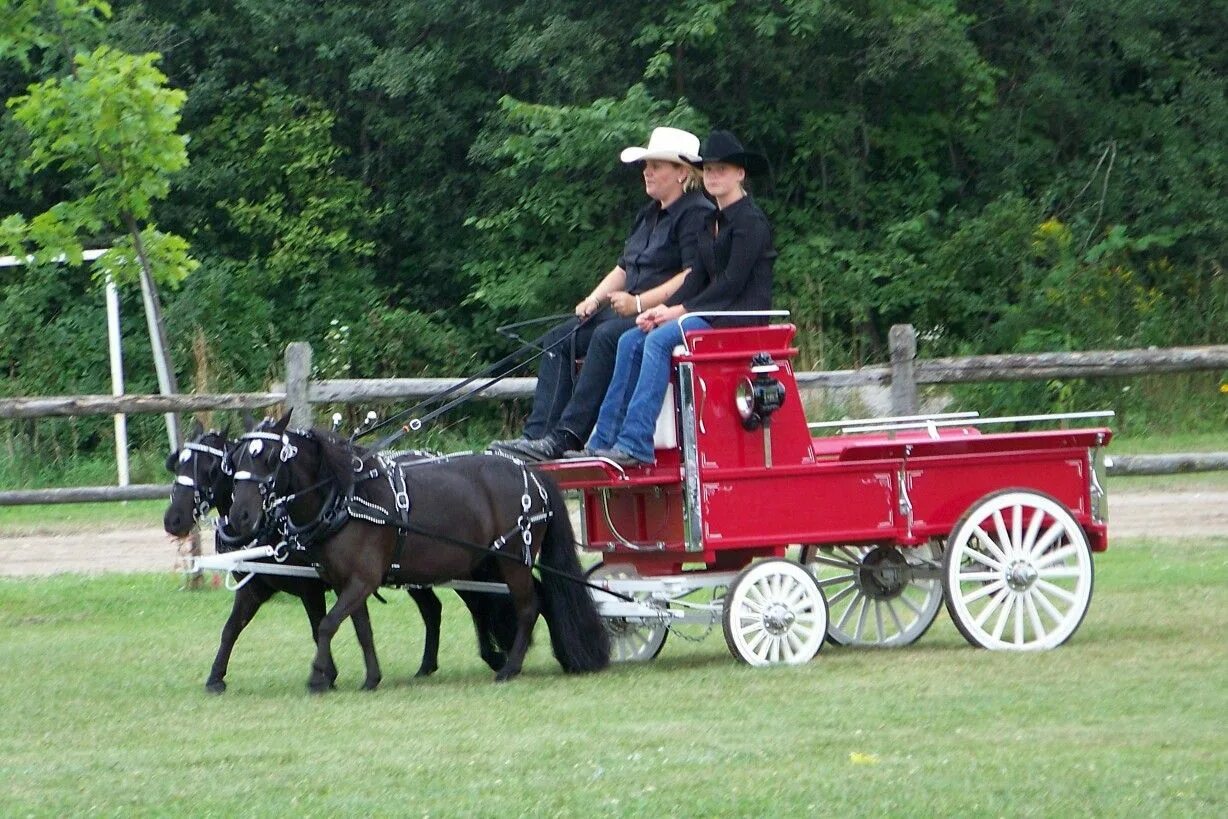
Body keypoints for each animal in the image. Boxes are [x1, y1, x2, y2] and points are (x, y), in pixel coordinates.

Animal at [162, 422, 513, 692]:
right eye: (176, 463)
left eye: (213, 468)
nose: (173, 520)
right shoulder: (256, 588)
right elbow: (231, 628)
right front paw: (215, 678)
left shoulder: (311, 588)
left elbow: (319, 625)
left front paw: (324, 676)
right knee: (434, 608)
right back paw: (429, 665)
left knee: (477, 604)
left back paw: (496, 657)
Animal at [225, 412, 609, 687]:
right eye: (238, 457)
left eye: (271, 457)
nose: (239, 516)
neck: (346, 499)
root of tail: (532, 473)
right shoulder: (346, 582)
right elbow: (360, 628)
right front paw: (371, 678)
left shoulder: (362, 580)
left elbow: (327, 625)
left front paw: (318, 676)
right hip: (489, 563)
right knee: (539, 599)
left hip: (513, 559)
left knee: (529, 607)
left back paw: (509, 668)